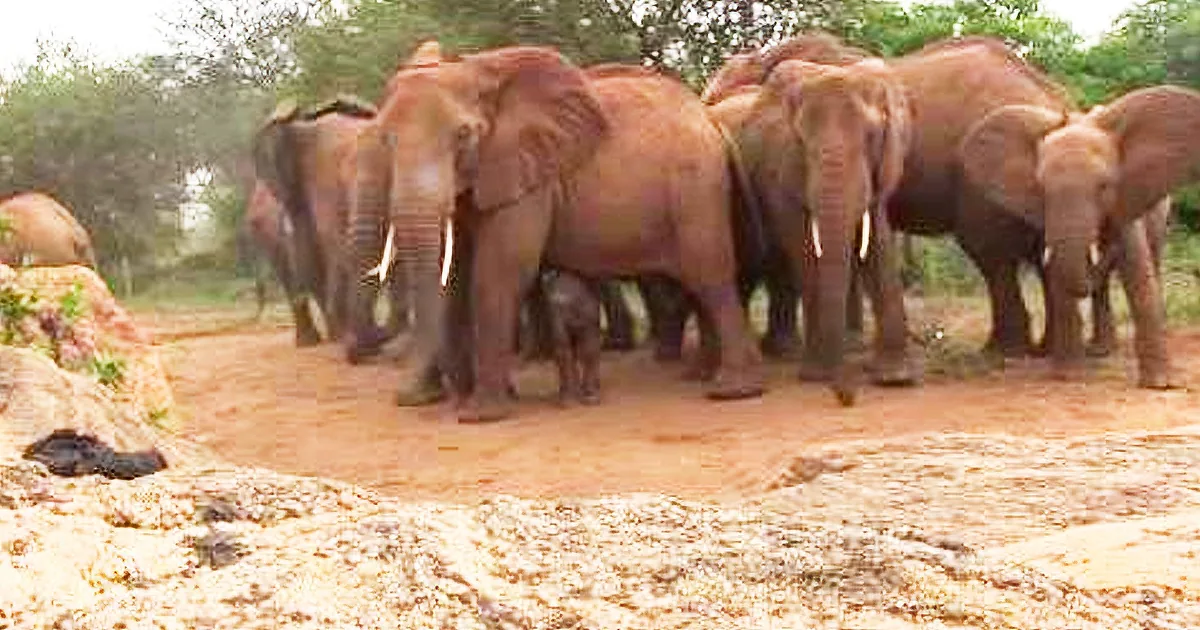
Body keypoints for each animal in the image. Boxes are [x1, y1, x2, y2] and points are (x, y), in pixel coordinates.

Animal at [354, 46, 765, 422]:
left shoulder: (528, 180)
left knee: (709, 277)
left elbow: (499, 272)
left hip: (697, 189)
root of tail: (712, 120)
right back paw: (703, 376)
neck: (477, 69)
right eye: (385, 140)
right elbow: (456, 275)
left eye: (463, 135)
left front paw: (481, 415)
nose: (453, 400)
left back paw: (732, 391)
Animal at [958, 86, 1200, 385]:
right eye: (1041, 188)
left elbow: (1138, 274)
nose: (1103, 246)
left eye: (1105, 186)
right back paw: (1100, 351)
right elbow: (1059, 272)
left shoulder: (1126, 200)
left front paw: (1158, 385)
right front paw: (1068, 376)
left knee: (1150, 263)